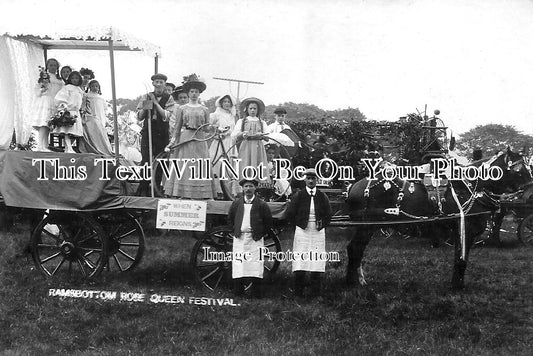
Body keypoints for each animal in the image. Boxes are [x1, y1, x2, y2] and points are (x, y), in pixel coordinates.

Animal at [342, 147, 528, 290]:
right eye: (519, 170)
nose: (528, 190)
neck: (470, 188)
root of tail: (354, 186)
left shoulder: (460, 232)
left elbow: (459, 258)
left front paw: (456, 284)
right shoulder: (465, 230)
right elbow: (461, 260)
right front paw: (458, 287)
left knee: (356, 250)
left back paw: (357, 280)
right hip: (366, 226)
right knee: (355, 249)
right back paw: (351, 282)